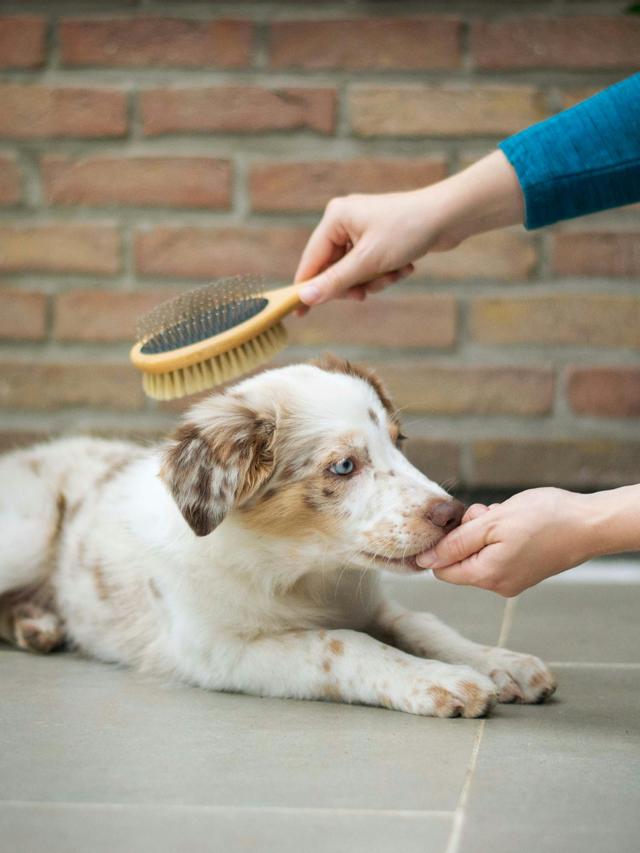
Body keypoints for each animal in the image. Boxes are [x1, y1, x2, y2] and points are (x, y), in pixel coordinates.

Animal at [0, 356, 556, 716]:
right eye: (344, 466)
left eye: (399, 443)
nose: (454, 514)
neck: (300, 574)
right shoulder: (217, 650)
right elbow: (343, 645)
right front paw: (439, 681)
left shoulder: (370, 605)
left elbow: (424, 625)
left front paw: (501, 664)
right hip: (29, 533)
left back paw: (38, 625)